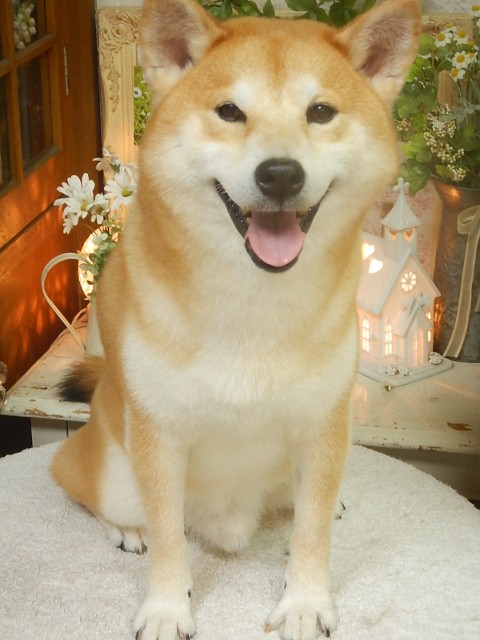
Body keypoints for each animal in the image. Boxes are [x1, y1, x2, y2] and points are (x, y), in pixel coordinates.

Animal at [51, 1, 419, 638]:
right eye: (229, 112)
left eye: (320, 112)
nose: (281, 174)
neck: (255, 301)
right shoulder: (160, 434)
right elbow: (170, 538)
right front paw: (167, 608)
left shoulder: (322, 423)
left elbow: (312, 529)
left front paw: (304, 602)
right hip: (109, 470)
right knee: (93, 492)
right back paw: (127, 527)